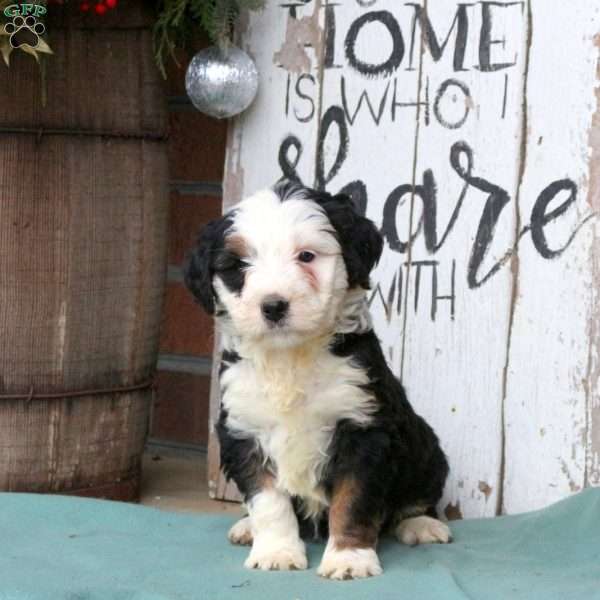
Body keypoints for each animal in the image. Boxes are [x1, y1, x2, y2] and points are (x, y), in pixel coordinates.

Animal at [183, 180, 450, 580]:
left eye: (306, 256)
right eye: (238, 266)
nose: (273, 306)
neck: (290, 358)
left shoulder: (363, 428)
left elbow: (353, 501)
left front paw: (349, 558)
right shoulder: (242, 429)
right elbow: (268, 501)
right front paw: (277, 551)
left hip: (425, 446)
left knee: (420, 495)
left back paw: (422, 524)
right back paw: (247, 528)